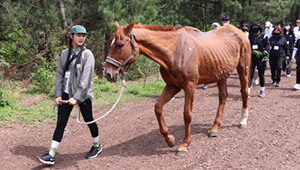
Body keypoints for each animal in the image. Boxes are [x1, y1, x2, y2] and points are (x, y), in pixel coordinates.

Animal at [103, 19, 251, 156]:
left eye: (120, 45)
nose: (108, 73)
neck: (174, 51)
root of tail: (240, 32)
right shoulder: (172, 86)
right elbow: (158, 108)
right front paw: (169, 139)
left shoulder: (190, 87)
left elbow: (187, 115)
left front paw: (184, 145)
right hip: (221, 74)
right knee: (223, 97)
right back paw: (215, 128)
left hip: (243, 68)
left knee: (244, 92)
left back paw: (243, 121)